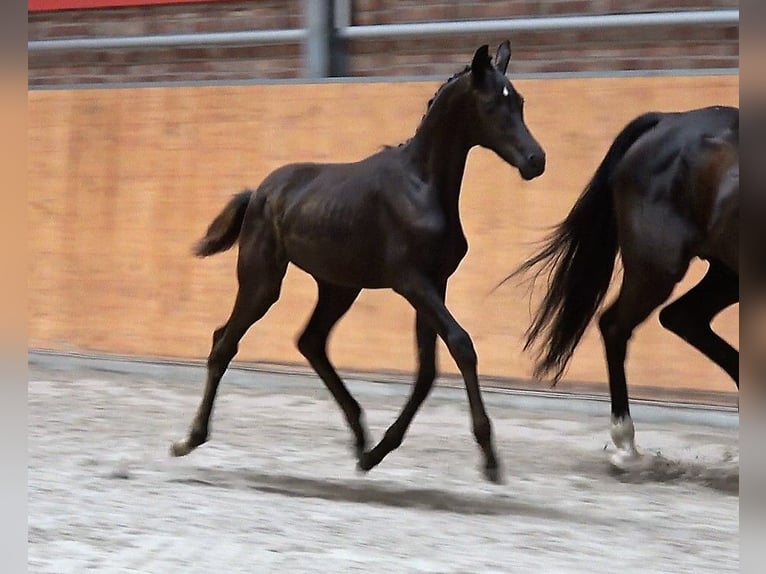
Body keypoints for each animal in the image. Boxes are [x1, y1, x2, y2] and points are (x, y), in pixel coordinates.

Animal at [172, 40, 548, 484]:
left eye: (520, 102)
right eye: (491, 105)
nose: (535, 160)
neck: (422, 187)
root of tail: (260, 191)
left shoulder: (435, 284)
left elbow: (426, 370)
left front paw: (379, 452)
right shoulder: (411, 282)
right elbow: (461, 345)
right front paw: (489, 457)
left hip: (339, 287)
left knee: (310, 341)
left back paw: (359, 438)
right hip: (262, 280)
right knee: (224, 342)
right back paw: (190, 438)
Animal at [512, 107, 740, 468]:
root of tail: (668, 120)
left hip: (725, 271)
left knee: (682, 318)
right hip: (657, 268)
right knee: (617, 325)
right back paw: (625, 444)